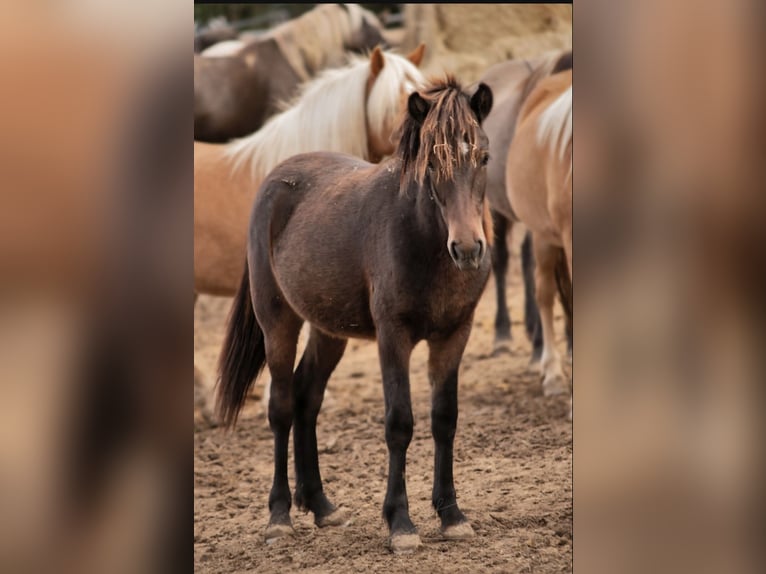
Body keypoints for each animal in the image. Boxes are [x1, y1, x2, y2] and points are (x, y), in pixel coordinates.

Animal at [214, 76, 498, 552]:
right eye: (431, 165)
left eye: (483, 157)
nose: (467, 249)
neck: (422, 240)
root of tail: (274, 179)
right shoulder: (392, 337)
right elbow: (399, 423)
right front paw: (400, 523)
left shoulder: (454, 334)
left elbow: (445, 419)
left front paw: (452, 515)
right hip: (278, 322)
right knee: (282, 406)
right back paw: (279, 515)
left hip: (329, 331)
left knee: (308, 396)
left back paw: (321, 506)